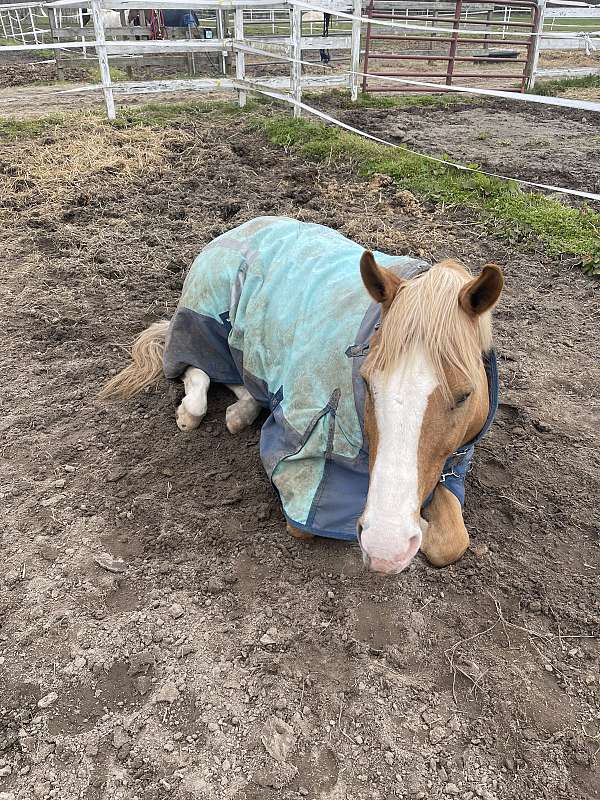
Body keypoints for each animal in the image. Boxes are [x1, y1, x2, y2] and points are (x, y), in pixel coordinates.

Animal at [101, 216, 504, 572]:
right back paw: (193, 410)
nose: (384, 547)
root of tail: (238, 229)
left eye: (465, 395)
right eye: (367, 382)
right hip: (207, 321)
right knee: (197, 370)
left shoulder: (453, 465)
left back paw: (242, 411)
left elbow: (453, 540)